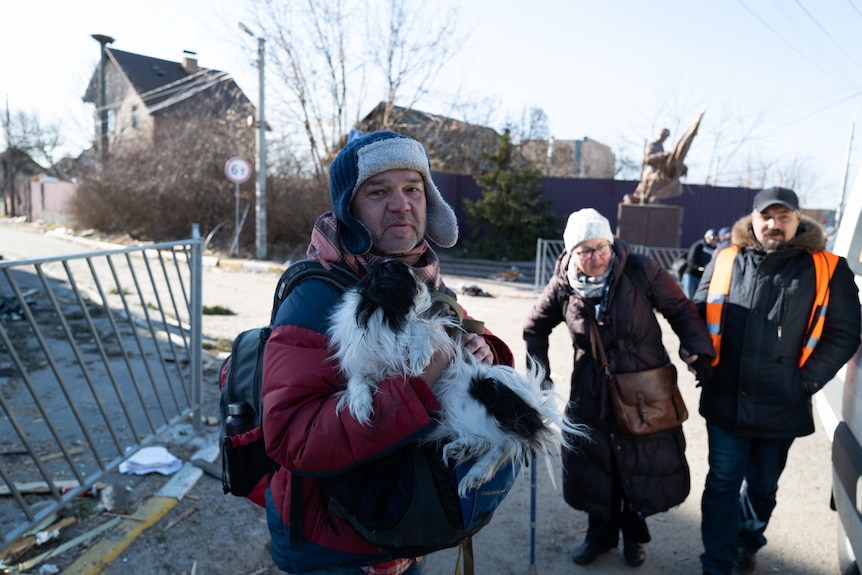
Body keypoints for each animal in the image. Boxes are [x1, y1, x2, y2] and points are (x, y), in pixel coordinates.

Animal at [328, 260, 592, 496]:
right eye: (415, 287)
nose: (429, 292)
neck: (385, 319)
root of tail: (529, 407)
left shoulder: (435, 329)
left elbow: (419, 326)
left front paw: (419, 356)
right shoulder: (365, 363)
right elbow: (357, 380)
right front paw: (360, 405)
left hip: (470, 398)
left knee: (508, 441)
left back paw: (474, 468)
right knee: (493, 441)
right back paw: (464, 452)